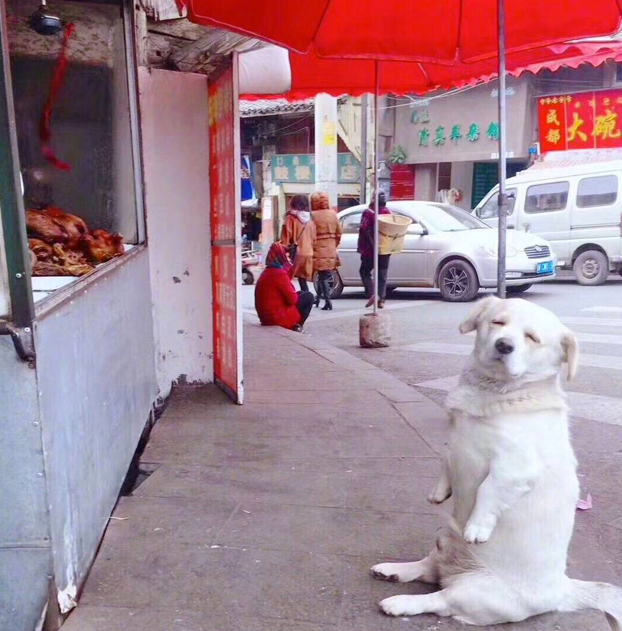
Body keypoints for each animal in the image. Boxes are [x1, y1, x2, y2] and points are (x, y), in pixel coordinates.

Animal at [372, 298, 620, 628]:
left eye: (532, 337)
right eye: (498, 323)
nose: (504, 345)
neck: (493, 393)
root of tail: (561, 591)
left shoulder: (514, 467)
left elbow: (488, 491)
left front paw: (477, 527)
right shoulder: (455, 439)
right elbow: (445, 457)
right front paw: (439, 492)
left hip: (474, 591)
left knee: (438, 598)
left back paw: (399, 602)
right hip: (443, 542)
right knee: (428, 568)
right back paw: (392, 570)